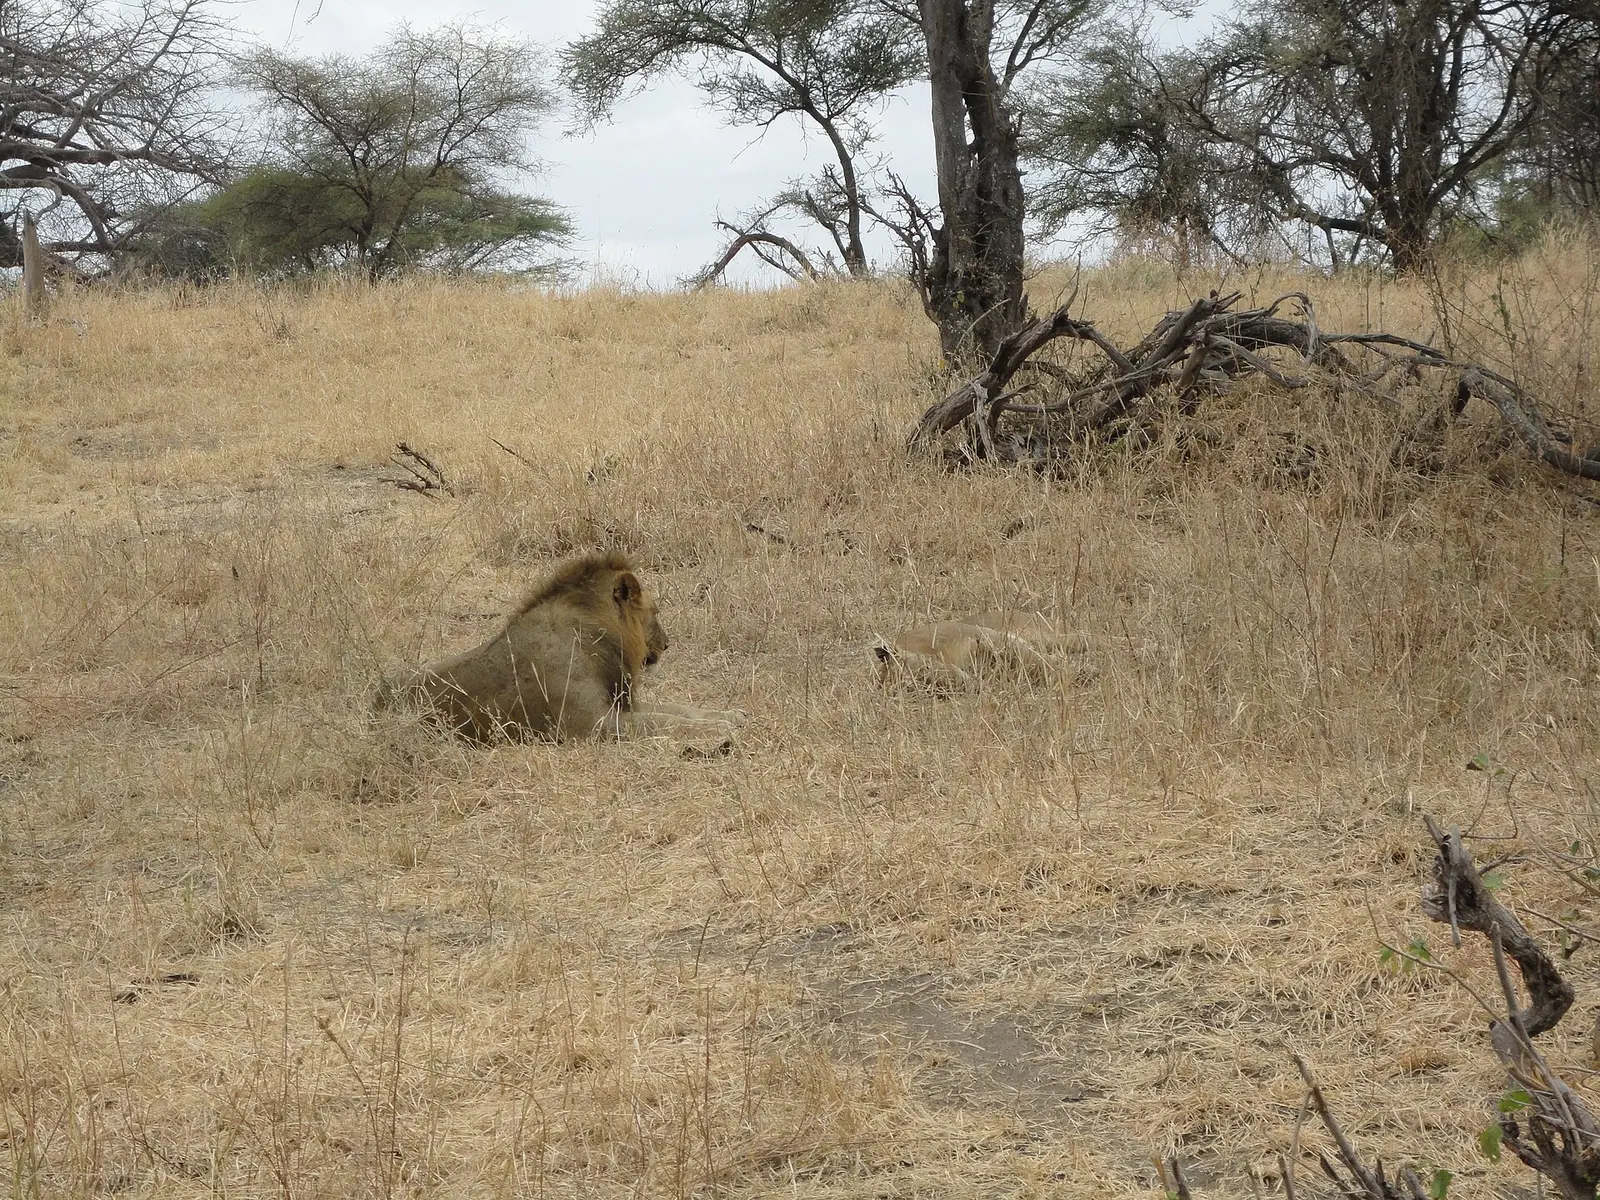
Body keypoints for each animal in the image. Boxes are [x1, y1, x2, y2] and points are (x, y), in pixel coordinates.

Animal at [385, 551, 746, 749]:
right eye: (654, 612)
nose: (668, 644)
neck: (594, 637)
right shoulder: (593, 724)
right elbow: (663, 722)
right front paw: (718, 729)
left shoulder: (620, 704)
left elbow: (681, 710)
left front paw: (731, 715)